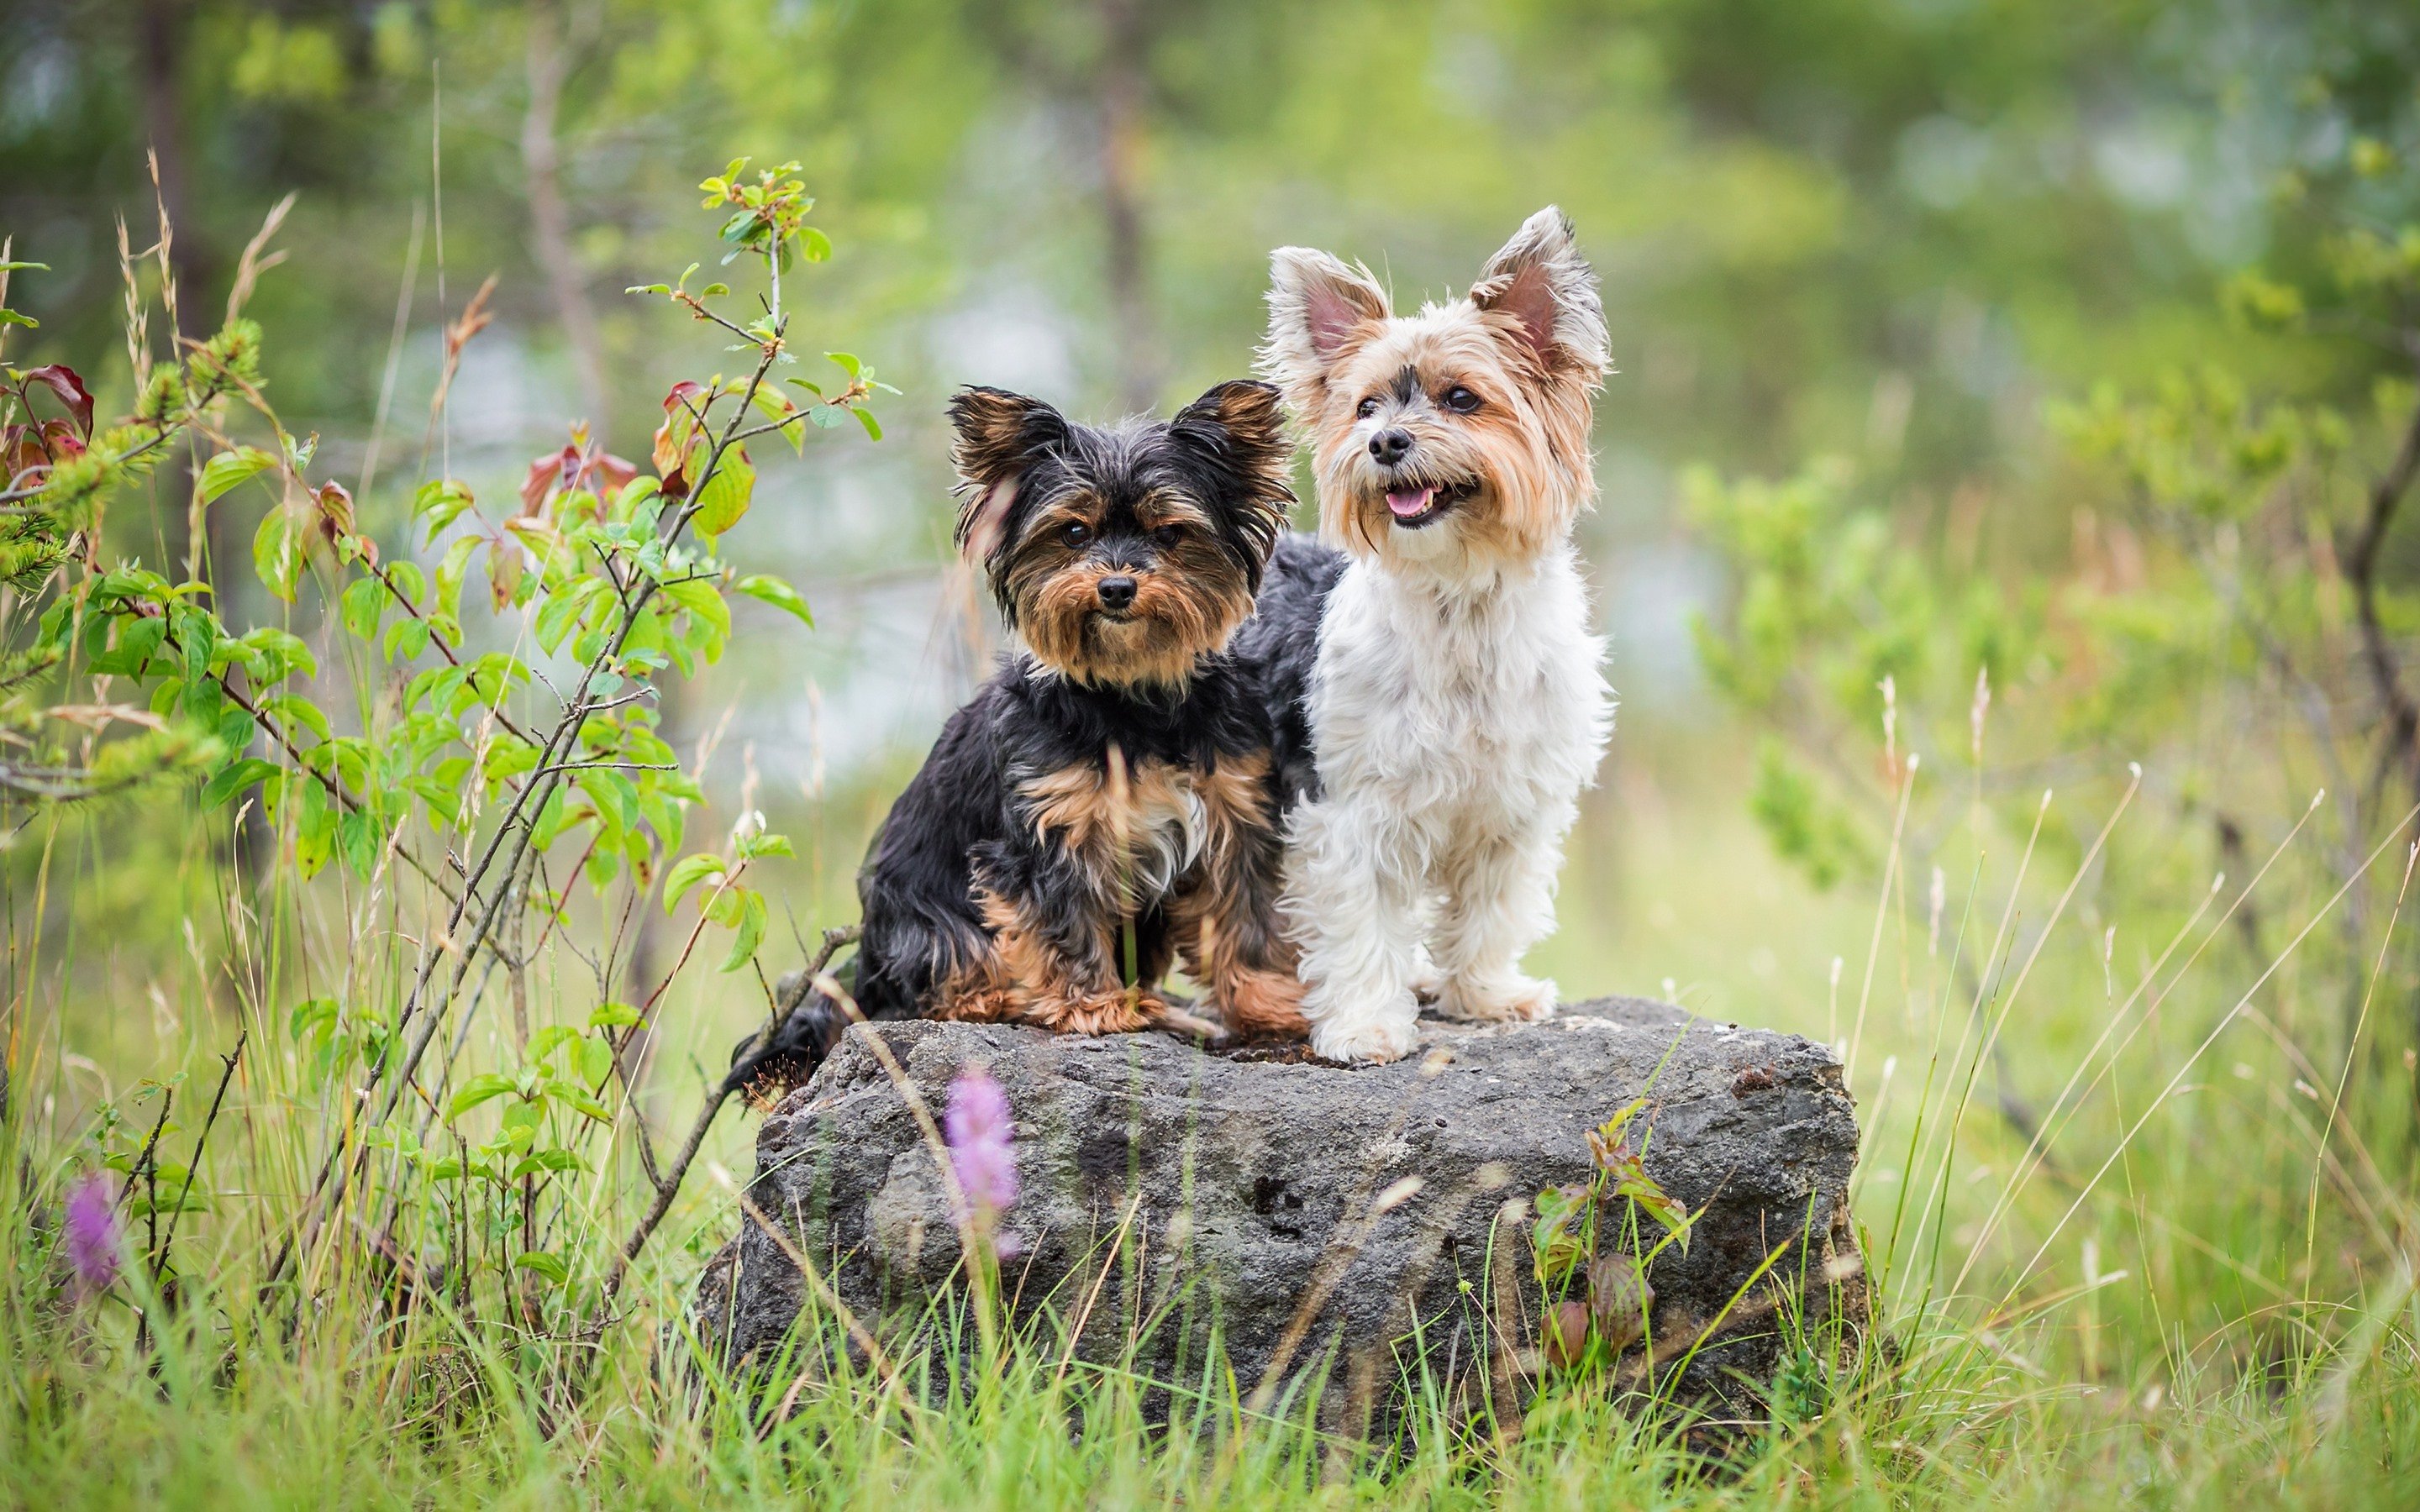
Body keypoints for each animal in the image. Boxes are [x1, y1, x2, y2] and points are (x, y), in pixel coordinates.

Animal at [1258, 209, 1616, 1059]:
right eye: (1364, 408)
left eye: (1461, 398)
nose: (1386, 443)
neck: (1461, 598)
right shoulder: (1350, 808)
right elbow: (1359, 921)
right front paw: (1364, 1026)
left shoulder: (1513, 810)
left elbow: (1490, 911)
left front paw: (1485, 995)